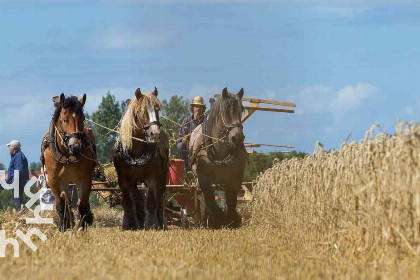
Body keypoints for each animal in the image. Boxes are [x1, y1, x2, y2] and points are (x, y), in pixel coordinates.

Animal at [41, 93, 97, 231]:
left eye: (82, 119)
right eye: (65, 120)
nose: (76, 146)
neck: (66, 156)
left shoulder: (85, 179)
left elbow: (83, 204)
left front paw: (82, 226)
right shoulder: (54, 180)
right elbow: (61, 204)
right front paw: (63, 226)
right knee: (67, 201)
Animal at [114, 87, 170, 230]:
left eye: (157, 109)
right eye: (142, 111)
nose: (155, 133)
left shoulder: (152, 178)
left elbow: (150, 202)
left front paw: (151, 224)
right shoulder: (123, 180)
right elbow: (128, 202)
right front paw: (128, 225)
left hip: (163, 177)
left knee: (159, 199)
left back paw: (161, 222)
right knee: (136, 198)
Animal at [189, 87, 246, 228]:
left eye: (241, 109)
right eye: (225, 110)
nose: (238, 138)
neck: (221, 151)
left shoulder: (235, 178)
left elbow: (231, 200)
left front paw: (231, 220)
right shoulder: (203, 178)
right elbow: (210, 198)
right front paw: (217, 219)